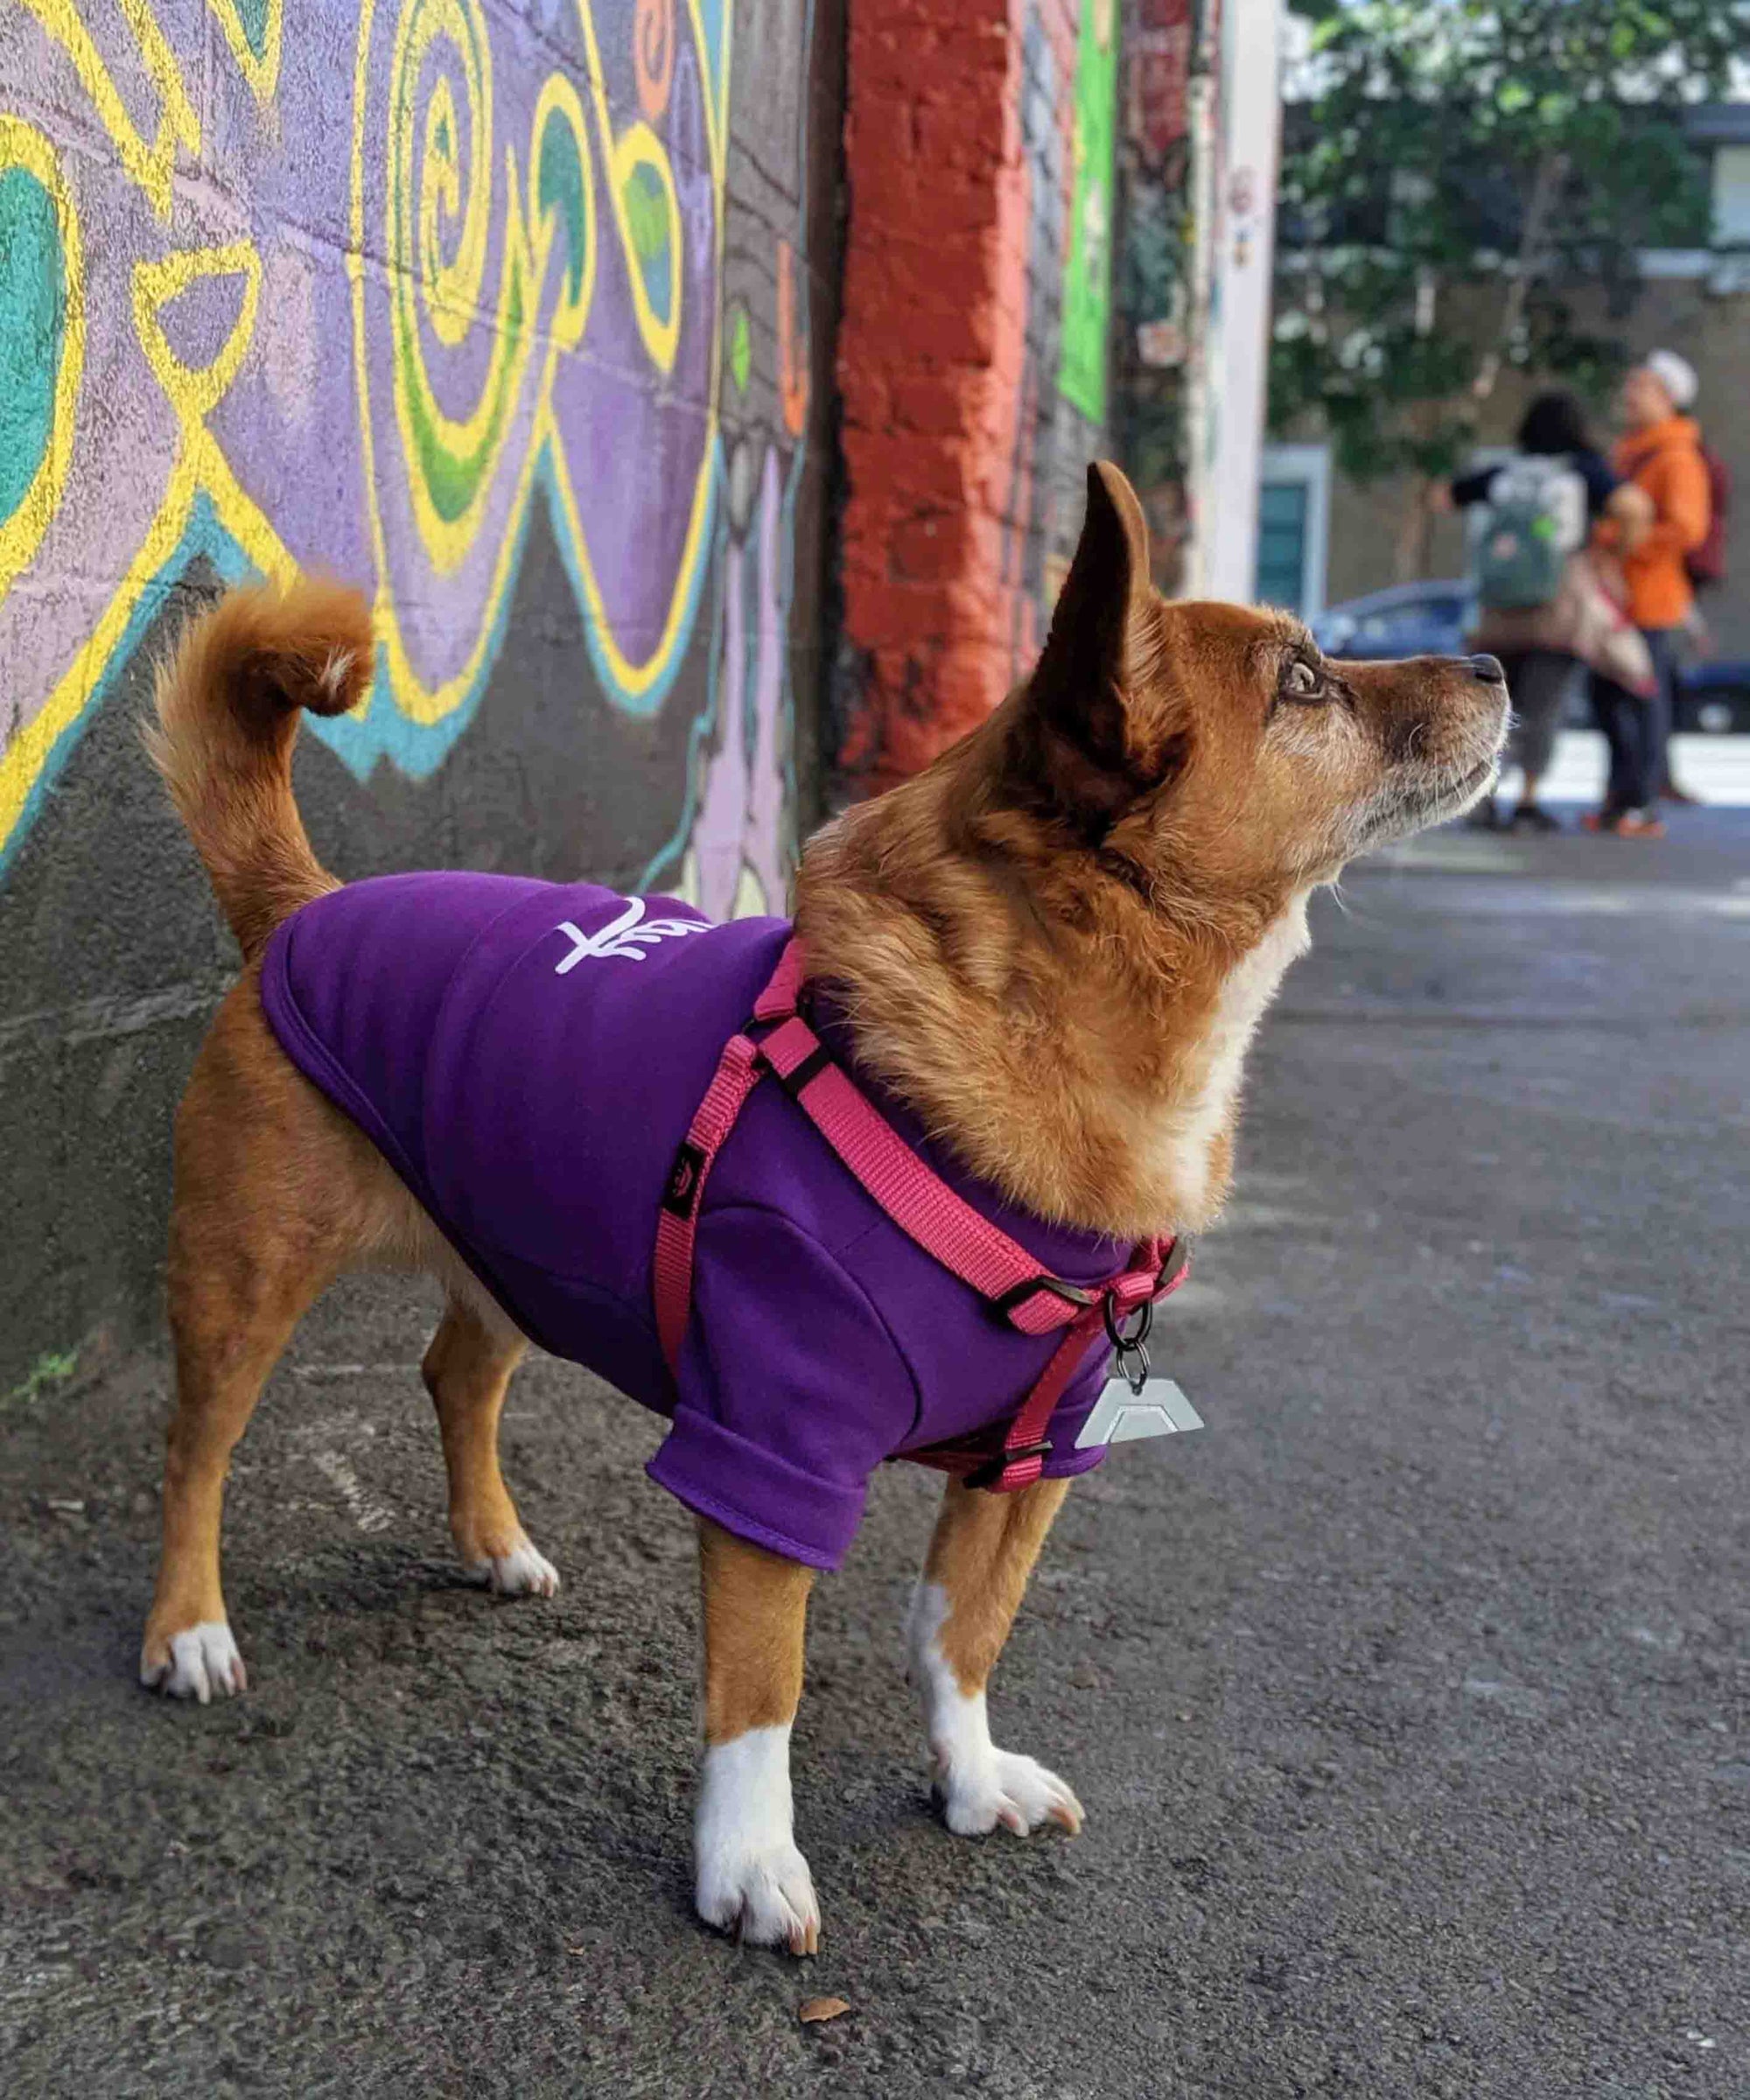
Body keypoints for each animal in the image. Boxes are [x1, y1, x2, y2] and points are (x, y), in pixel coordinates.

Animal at [139, 464, 1504, 1949]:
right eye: (1305, 682)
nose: (1497, 662)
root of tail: (302, 908)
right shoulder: (768, 1452)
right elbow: (763, 1687)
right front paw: (746, 1860)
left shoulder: (1031, 1467)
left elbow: (963, 1634)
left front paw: (968, 1774)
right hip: (245, 1281)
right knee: (198, 1453)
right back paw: (188, 1627)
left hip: (516, 1251)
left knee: (456, 1375)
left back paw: (493, 1546)